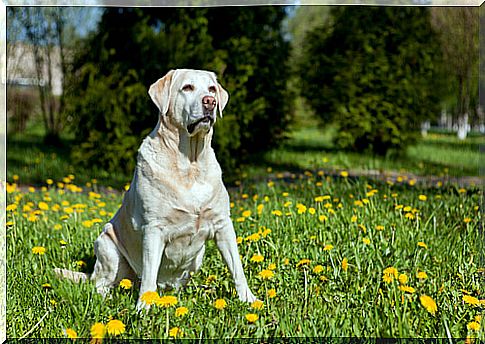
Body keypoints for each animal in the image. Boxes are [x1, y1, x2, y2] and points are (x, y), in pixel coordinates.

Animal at [56, 68, 255, 310]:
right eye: (187, 87)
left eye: (211, 89)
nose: (210, 101)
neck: (191, 163)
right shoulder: (153, 230)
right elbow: (149, 275)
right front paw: (144, 309)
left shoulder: (223, 224)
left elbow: (237, 268)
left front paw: (249, 300)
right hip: (107, 246)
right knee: (102, 284)